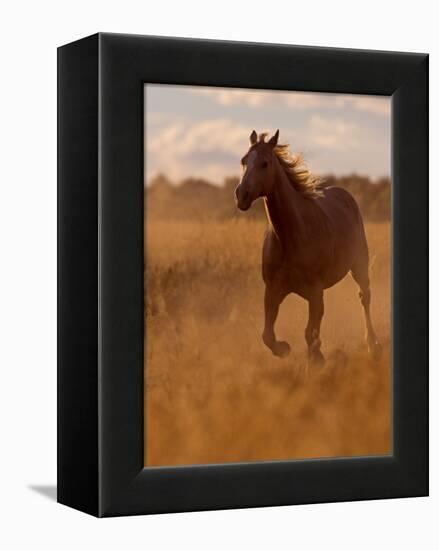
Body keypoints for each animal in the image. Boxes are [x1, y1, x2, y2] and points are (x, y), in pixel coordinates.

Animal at [234, 130, 382, 366]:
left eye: (265, 163)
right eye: (244, 161)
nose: (242, 195)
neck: (291, 236)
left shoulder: (315, 291)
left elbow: (310, 333)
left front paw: (317, 359)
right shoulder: (273, 290)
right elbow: (268, 334)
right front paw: (284, 349)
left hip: (360, 264)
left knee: (364, 297)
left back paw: (373, 346)